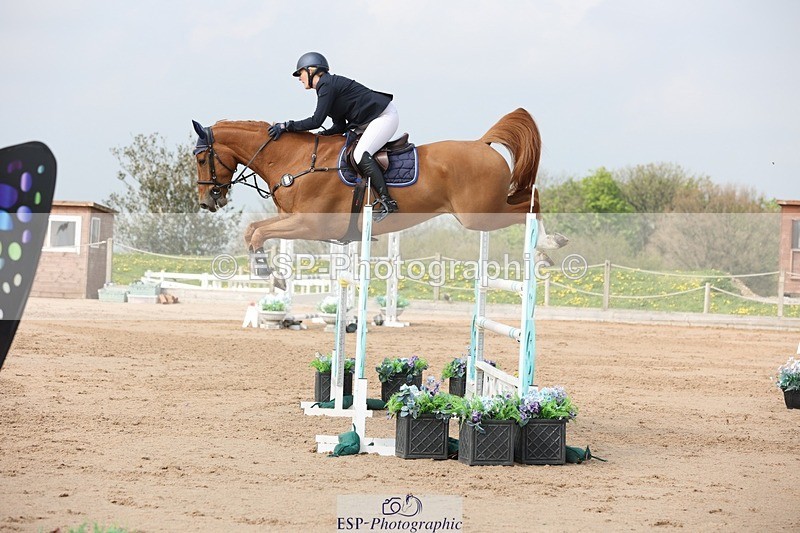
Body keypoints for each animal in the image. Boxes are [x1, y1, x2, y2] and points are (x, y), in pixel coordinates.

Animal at [192, 108, 566, 279]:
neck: (296, 161)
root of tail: (481, 144)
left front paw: (267, 275)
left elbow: (257, 233)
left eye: (200, 158)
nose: (207, 201)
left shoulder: (311, 224)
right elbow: (253, 230)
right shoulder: (294, 221)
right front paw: (267, 274)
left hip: (479, 215)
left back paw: (547, 246)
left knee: (530, 202)